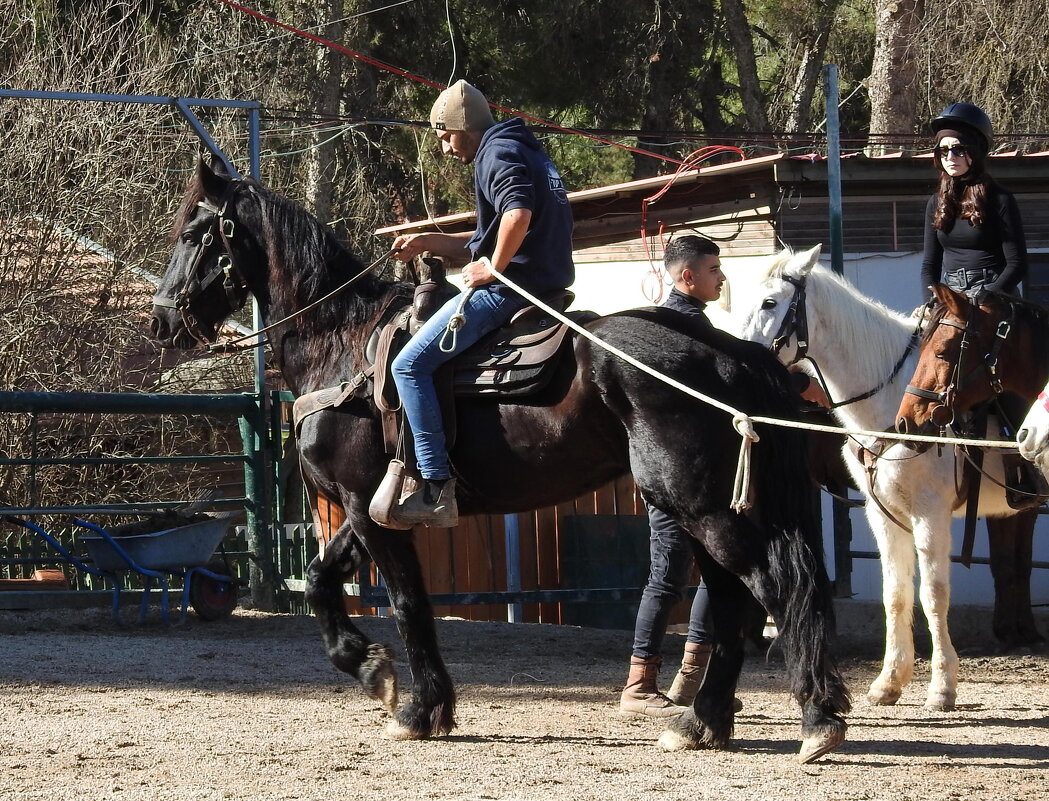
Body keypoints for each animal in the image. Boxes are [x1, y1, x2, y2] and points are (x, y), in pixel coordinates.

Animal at [150, 158, 851, 763]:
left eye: (191, 232)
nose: (161, 321)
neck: (343, 343)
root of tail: (730, 353)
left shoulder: (368, 507)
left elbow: (408, 603)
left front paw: (419, 707)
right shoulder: (367, 505)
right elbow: (324, 580)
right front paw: (371, 668)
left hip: (702, 507)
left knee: (774, 587)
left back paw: (815, 720)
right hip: (698, 509)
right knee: (735, 598)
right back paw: (702, 720)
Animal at [717, 247, 1019, 708]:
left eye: (770, 302)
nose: (734, 361)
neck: (896, 400)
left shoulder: (930, 515)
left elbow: (933, 597)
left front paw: (942, 688)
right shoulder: (883, 515)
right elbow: (895, 595)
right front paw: (888, 682)